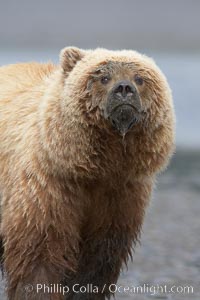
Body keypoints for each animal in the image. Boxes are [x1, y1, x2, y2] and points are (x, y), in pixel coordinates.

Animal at [0, 48, 175, 298]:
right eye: (104, 77)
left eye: (139, 78)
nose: (124, 88)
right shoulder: (48, 188)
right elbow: (40, 252)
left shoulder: (120, 197)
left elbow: (98, 258)